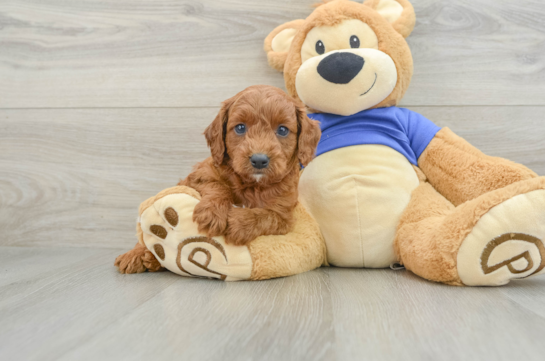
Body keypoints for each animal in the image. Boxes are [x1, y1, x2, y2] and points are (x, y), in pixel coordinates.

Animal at [181, 84, 320, 245]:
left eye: (282, 130)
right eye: (240, 127)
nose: (259, 160)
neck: (254, 185)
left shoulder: (284, 216)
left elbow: (266, 216)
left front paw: (238, 223)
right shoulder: (200, 173)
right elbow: (217, 185)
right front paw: (212, 212)